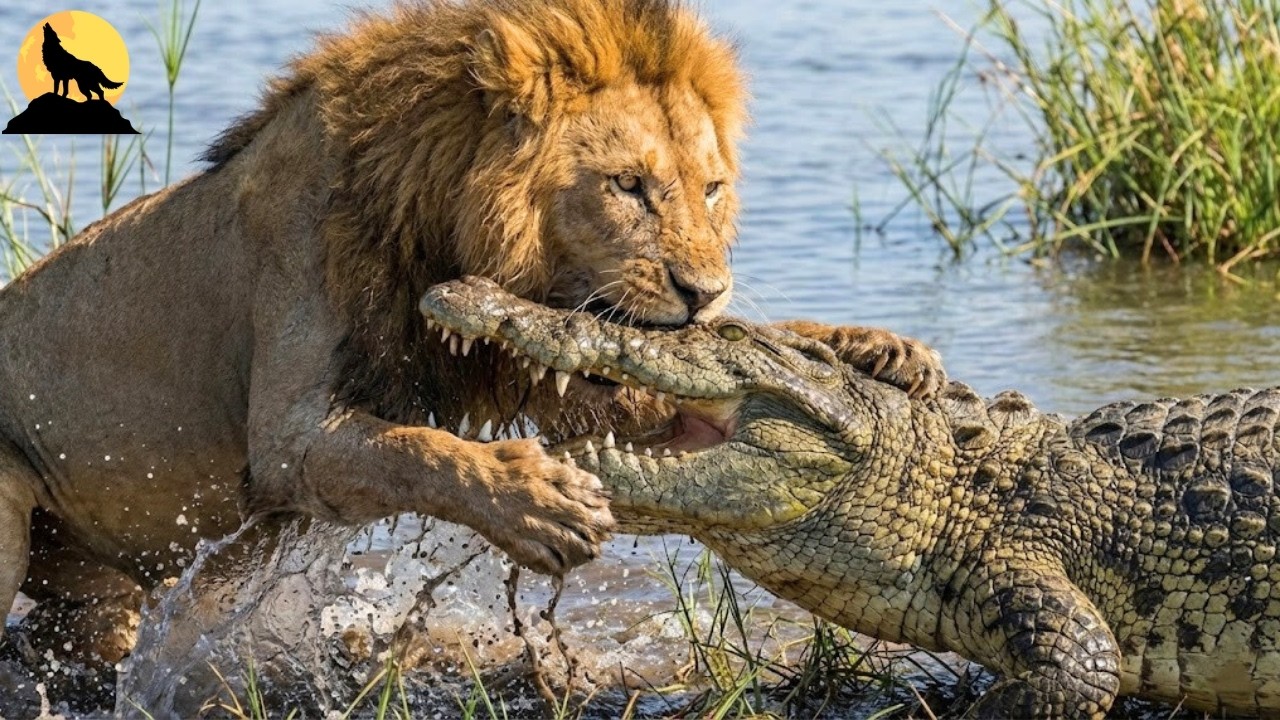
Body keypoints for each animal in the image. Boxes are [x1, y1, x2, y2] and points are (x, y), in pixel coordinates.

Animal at [0, 0, 944, 702]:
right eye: (628, 186)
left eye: (711, 189)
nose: (705, 291)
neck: (435, 213)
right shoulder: (287, 437)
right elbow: (420, 452)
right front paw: (540, 506)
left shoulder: (545, 351)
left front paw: (877, 350)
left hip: (96, 600)